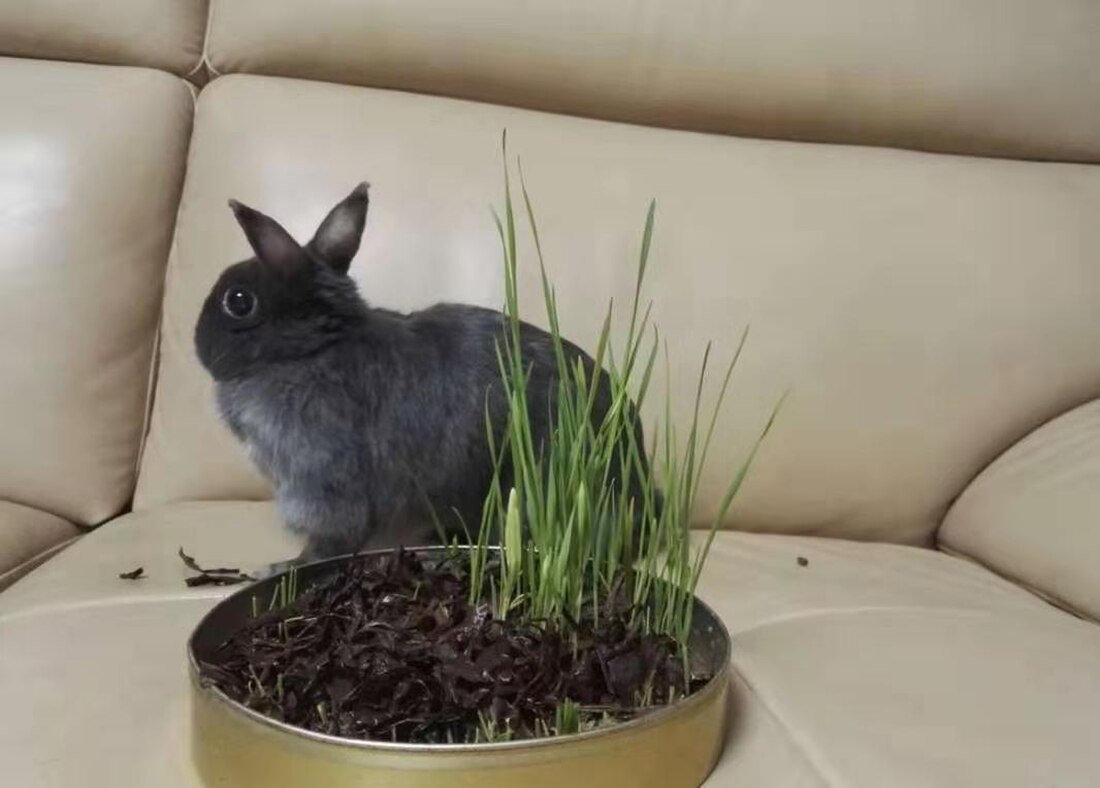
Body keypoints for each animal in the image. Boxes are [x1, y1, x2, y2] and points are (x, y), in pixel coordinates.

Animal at [195, 181, 651, 567]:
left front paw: (287, 566)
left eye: (238, 301)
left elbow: (334, 537)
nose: (199, 346)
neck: (312, 349)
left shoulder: (321, 479)